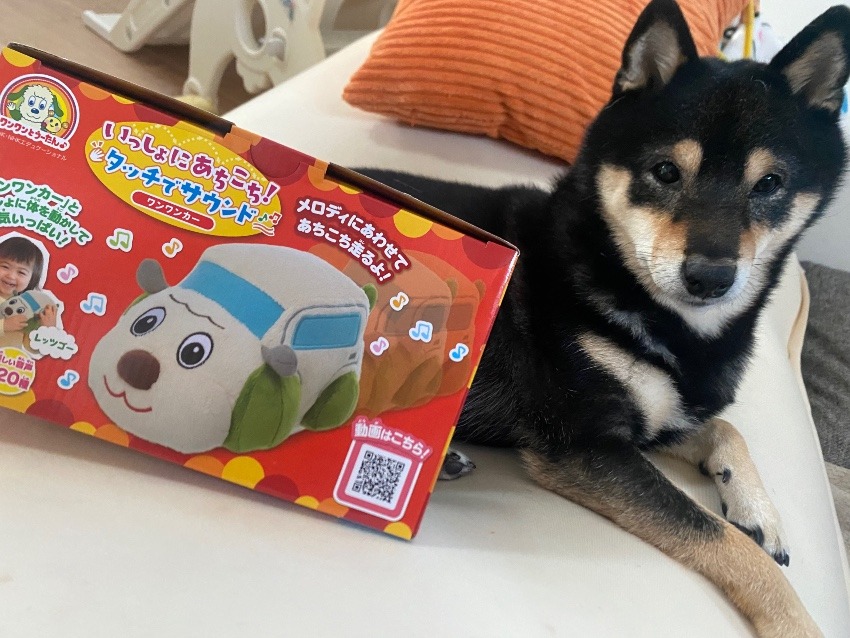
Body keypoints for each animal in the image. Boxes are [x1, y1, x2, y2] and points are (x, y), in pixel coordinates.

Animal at [357, 1, 850, 635]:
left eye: (770, 184)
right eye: (665, 172)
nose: (710, 276)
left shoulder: (657, 419)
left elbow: (724, 429)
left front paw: (757, 510)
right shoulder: (582, 443)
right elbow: (725, 543)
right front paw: (795, 620)